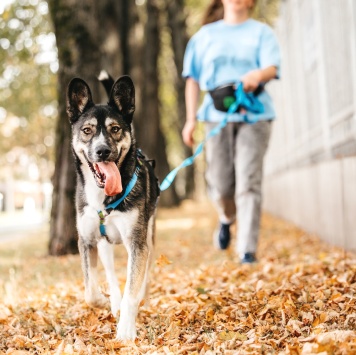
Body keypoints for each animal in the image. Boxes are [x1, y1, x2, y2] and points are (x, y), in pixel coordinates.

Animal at [66, 73, 160, 340]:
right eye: (87, 130)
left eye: (115, 129)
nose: (103, 151)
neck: (104, 198)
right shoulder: (86, 241)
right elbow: (90, 292)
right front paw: (106, 303)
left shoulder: (137, 243)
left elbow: (132, 289)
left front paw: (126, 331)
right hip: (104, 244)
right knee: (109, 273)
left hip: (148, 235)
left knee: (143, 275)